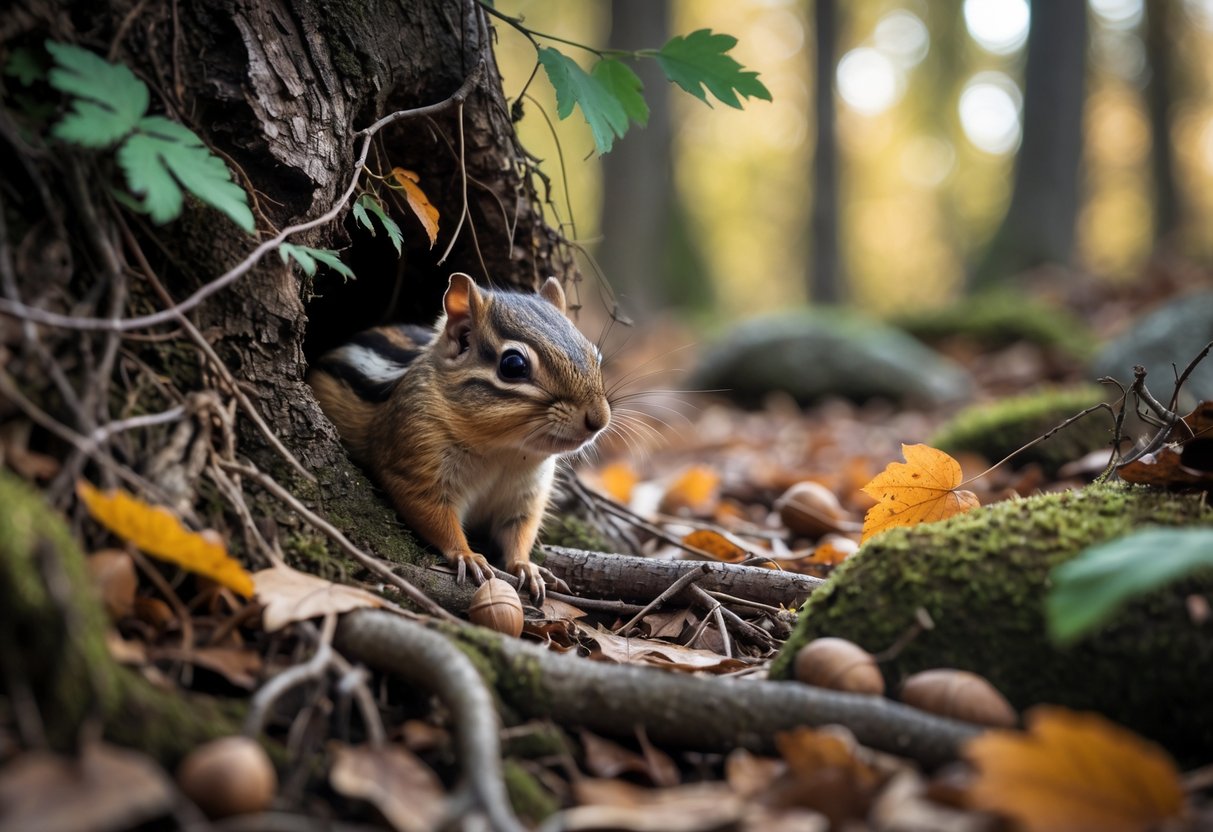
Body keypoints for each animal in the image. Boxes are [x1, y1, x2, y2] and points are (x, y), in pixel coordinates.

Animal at [307, 273, 610, 602]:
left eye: (595, 355)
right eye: (513, 365)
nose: (599, 419)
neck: (504, 452)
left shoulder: (526, 495)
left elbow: (519, 531)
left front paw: (526, 566)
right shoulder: (417, 460)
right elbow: (432, 514)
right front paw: (467, 555)